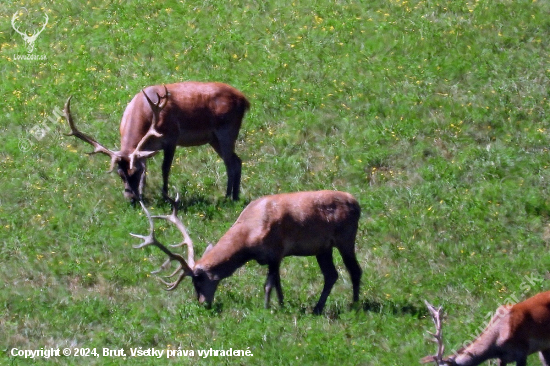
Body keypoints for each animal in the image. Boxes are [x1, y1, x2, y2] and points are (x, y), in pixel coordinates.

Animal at [64, 82, 250, 202]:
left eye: (134, 172)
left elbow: (165, 168)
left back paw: (228, 197)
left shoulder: (172, 138)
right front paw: (143, 193)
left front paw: (165, 196)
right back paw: (234, 196)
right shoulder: (143, 149)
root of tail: (245, 100)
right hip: (214, 138)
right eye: (120, 174)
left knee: (231, 162)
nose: (130, 199)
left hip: (227, 130)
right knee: (236, 160)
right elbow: (147, 168)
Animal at [132, 190, 364, 314]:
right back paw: (317, 308)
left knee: (355, 270)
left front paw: (267, 308)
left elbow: (268, 284)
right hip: (323, 248)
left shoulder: (276, 251)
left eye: (197, 280)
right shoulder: (274, 258)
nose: (202, 303)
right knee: (331, 275)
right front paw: (282, 305)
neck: (248, 238)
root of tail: (357, 203)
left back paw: (355, 305)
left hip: (346, 238)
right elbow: (278, 283)